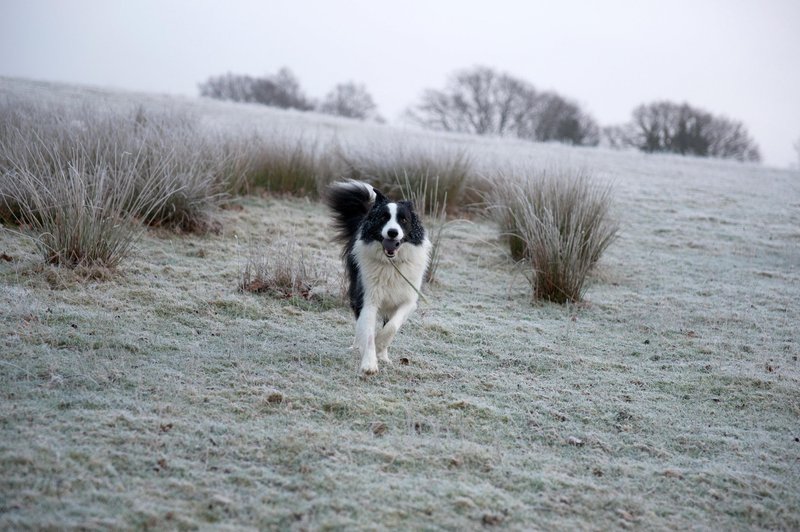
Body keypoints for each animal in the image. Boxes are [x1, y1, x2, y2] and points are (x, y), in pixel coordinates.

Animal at [324, 181, 432, 376]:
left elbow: (392, 326)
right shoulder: (367, 298)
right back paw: (357, 346)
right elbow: (367, 332)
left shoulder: (408, 300)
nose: (392, 232)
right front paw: (369, 363)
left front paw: (380, 347)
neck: (390, 264)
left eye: (403, 220)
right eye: (383, 217)